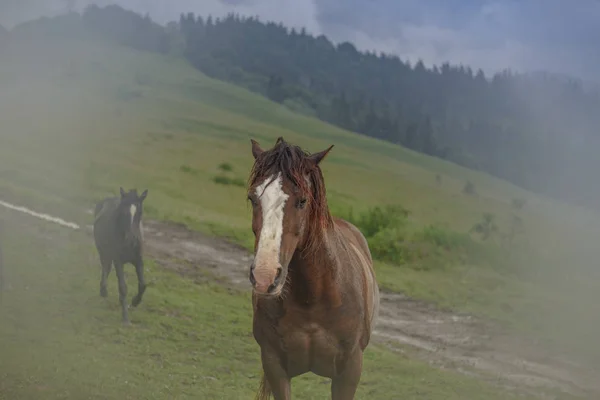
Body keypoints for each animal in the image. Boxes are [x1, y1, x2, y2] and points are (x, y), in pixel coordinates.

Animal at [247, 138, 380, 400]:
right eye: (252, 198)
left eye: (302, 201)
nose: (265, 277)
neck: (314, 297)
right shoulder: (274, 366)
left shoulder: (349, 373)